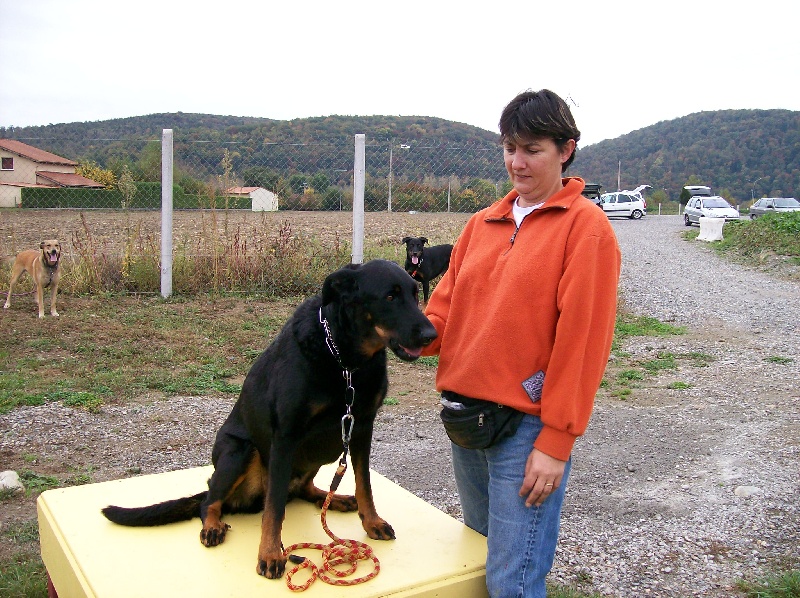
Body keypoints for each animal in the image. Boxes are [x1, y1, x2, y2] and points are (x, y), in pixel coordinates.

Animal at [102, 262, 438, 580]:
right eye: (390, 296)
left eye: (414, 293)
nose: (431, 335)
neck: (346, 363)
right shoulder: (286, 437)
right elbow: (274, 509)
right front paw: (270, 554)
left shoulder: (361, 427)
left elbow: (364, 484)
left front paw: (372, 522)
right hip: (240, 451)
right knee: (210, 499)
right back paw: (212, 525)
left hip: (318, 454)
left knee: (302, 489)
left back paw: (333, 498)